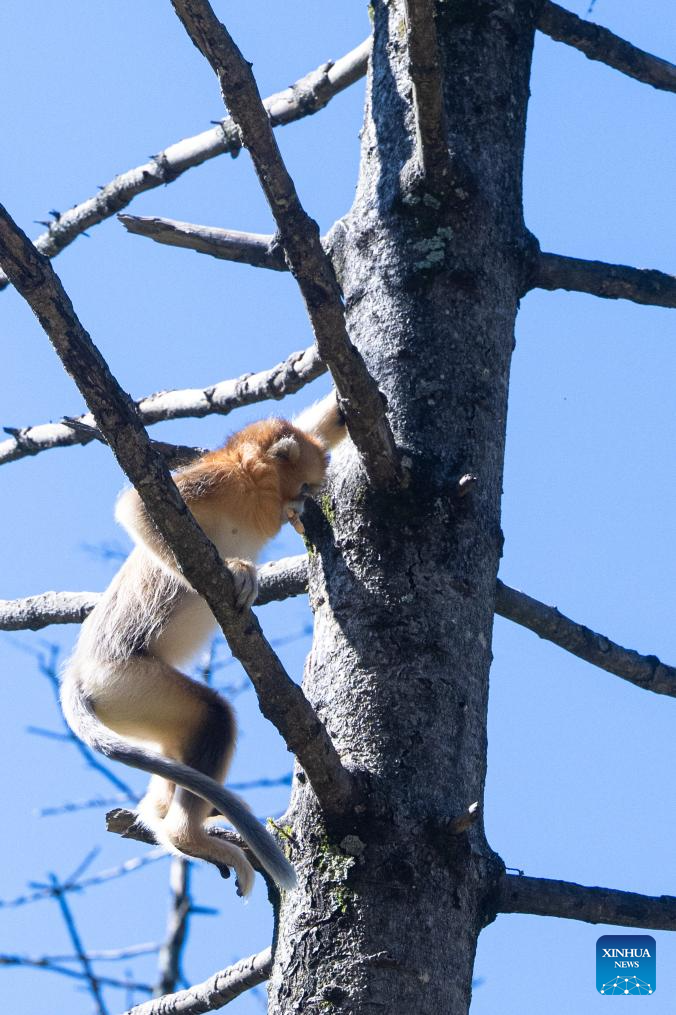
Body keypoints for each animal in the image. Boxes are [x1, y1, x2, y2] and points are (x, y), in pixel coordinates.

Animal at [59, 391, 345, 893]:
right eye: (306, 486)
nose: (305, 510)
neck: (251, 493)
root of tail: (77, 672)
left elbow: (321, 423)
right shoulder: (216, 481)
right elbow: (135, 508)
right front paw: (236, 571)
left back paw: (166, 825)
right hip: (126, 682)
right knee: (215, 715)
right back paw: (186, 834)